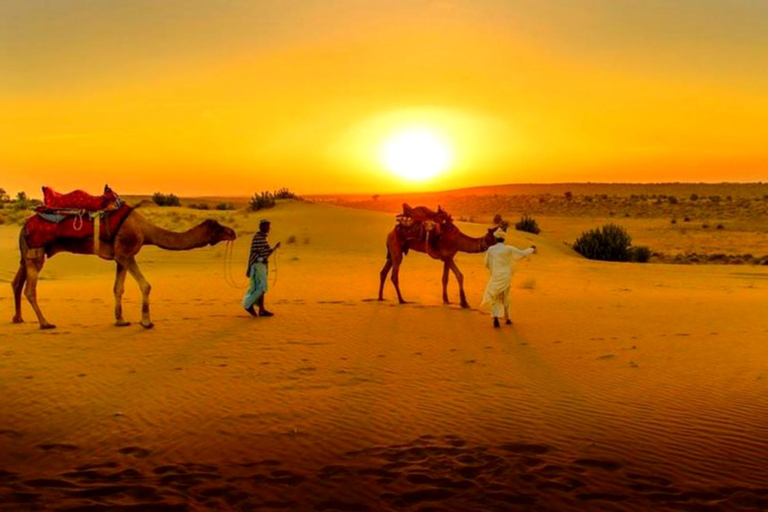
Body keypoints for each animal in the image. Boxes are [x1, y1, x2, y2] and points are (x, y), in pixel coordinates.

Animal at [11, 187, 234, 328]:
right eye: (218, 227)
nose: (232, 232)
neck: (145, 230)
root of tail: (23, 227)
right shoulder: (126, 253)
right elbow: (146, 285)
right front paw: (146, 322)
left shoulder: (120, 256)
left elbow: (118, 288)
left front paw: (121, 320)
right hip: (36, 253)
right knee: (30, 289)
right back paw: (45, 323)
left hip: (27, 255)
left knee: (16, 283)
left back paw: (18, 318)